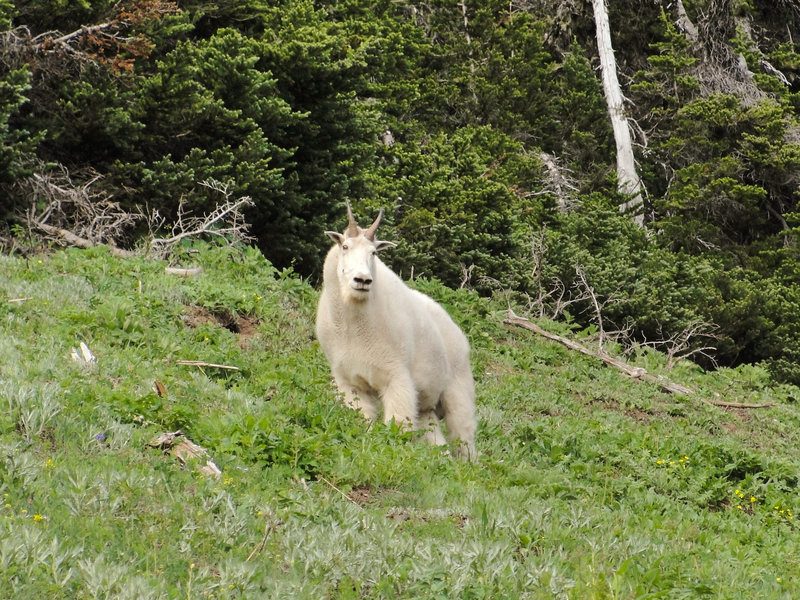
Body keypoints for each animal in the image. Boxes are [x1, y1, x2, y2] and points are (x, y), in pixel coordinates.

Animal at [312, 202, 476, 460]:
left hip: (459, 389)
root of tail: (458, 332)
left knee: (464, 435)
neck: (353, 325)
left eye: (374, 253)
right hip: (428, 407)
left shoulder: (396, 376)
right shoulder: (350, 382)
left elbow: (399, 423)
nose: (362, 280)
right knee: (433, 433)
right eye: (345, 246)